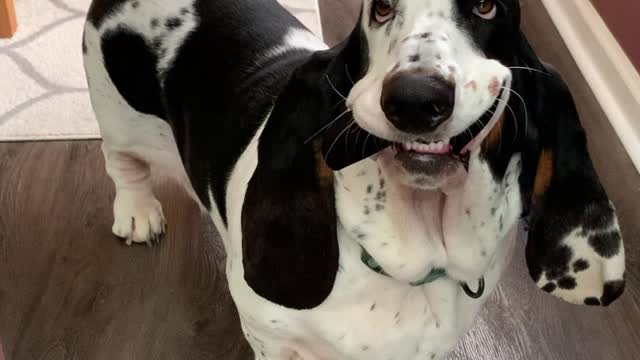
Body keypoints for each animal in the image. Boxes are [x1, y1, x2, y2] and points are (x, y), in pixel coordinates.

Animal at [82, 0, 628, 358]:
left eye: (487, 7)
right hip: (116, 114)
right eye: (381, 9)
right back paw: (137, 213)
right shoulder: (270, 338)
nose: (415, 97)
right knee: (122, 163)